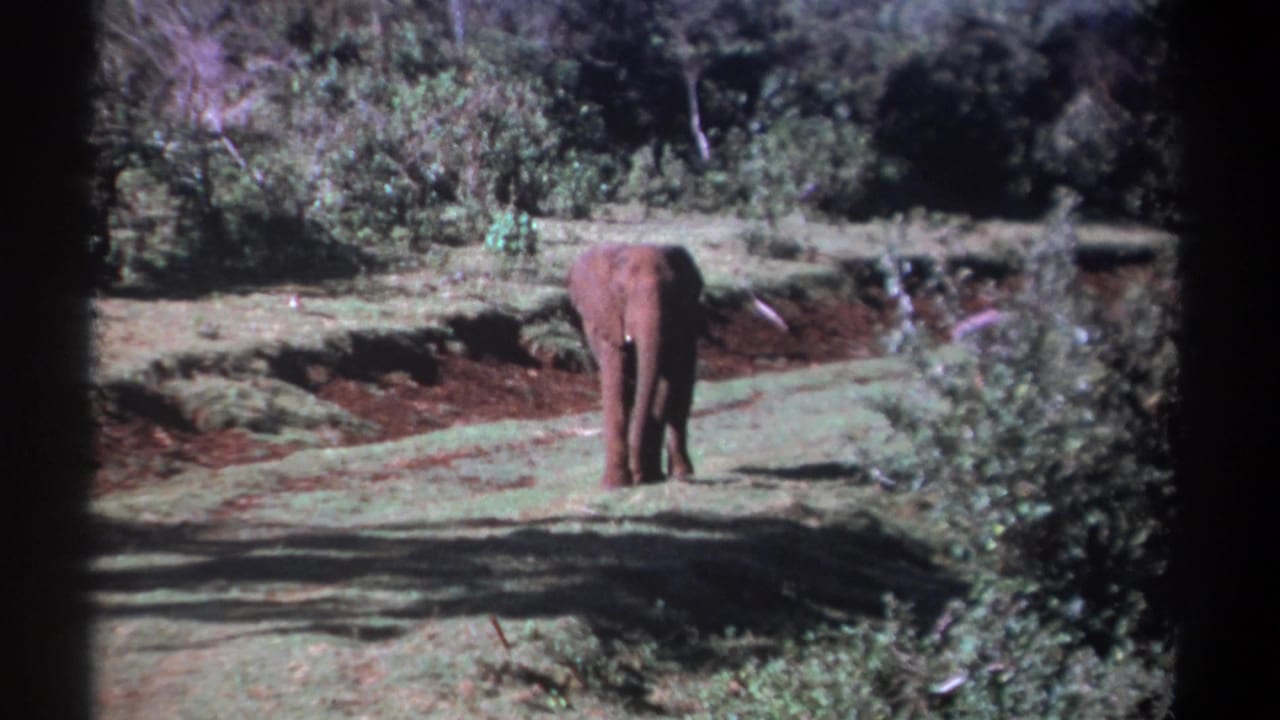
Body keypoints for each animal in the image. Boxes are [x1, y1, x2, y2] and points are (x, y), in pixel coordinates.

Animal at [567, 243, 704, 488]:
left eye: (670, 293)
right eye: (621, 293)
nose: (637, 473)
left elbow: (665, 385)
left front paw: (646, 476)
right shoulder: (608, 319)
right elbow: (617, 383)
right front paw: (616, 485)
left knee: (681, 396)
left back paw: (681, 473)